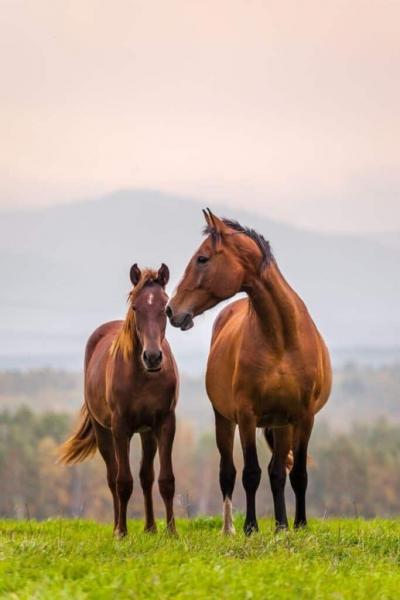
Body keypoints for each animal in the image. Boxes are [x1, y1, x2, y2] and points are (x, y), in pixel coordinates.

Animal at [59, 264, 178, 536]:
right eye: (135, 307)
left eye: (164, 307)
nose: (152, 357)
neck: (144, 376)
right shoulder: (120, 427)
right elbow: (123, 481)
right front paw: (122, 533)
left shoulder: (165, 423)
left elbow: (165, 480)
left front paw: (172, 533)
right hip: (103, 431)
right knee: (112, 477)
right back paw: (116, 527)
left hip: (147, 433)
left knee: (146, 476)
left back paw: (150, 528)